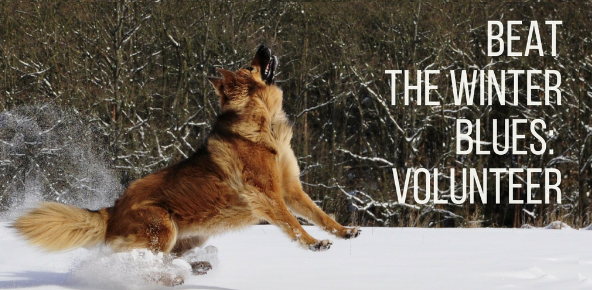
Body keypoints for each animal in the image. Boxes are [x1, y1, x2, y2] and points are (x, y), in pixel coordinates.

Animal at [12, 45, 360, 284]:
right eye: (251, 65)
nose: (263, 46)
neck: (262, 122)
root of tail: (112, 209)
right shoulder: (268, 196)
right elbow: (293, 224)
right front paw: (314, 245)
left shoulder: (291, 190)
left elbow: (320, 215)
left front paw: (344, 232)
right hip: (162, 228)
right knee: (140, 263)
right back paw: (171, 277)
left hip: (191, 234)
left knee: (161, 259)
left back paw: (196, 267)